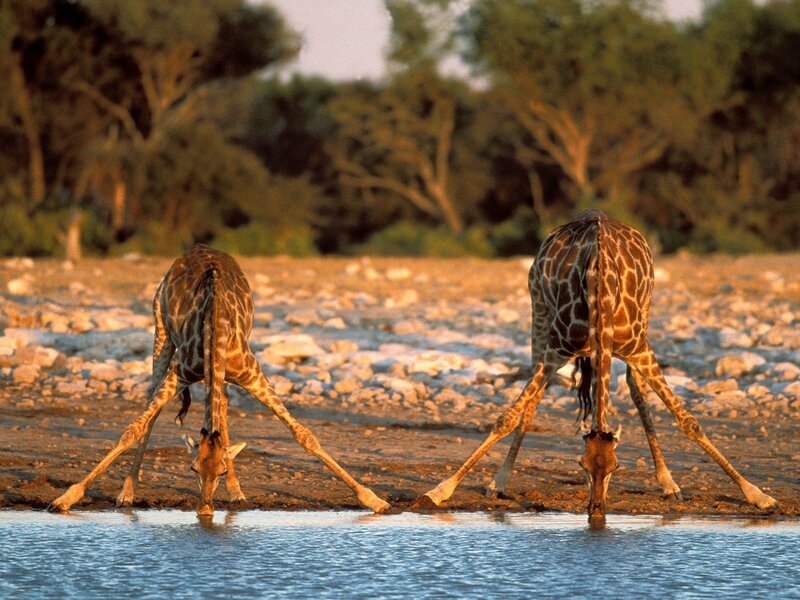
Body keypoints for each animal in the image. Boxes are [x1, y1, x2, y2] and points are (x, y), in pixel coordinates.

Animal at [49, 244, 390, 515]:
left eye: (222, 470)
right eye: (192, 468)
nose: (205, 509)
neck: (215, 327)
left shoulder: (252, 373)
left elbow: (305, 435)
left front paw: (374, 500)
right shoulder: (180, 372)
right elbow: (132, 429)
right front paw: (66, 498)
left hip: (219, 371)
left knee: (221, 409)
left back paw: (237, 492)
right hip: (161, 332)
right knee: (153, 406)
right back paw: (127, 492)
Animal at [418, 210, 777, 519]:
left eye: (616, 466)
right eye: (581, 465)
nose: (597, 510)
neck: (600, 291)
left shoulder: (639, 349)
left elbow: (689, 422)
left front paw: (757, 494)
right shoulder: (555, 350)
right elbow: (506, 417)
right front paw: (441, 490)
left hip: (645, 316)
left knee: (635, 388)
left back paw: (668, 483)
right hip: (538, 310)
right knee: (535, 394)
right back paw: (500, 481)